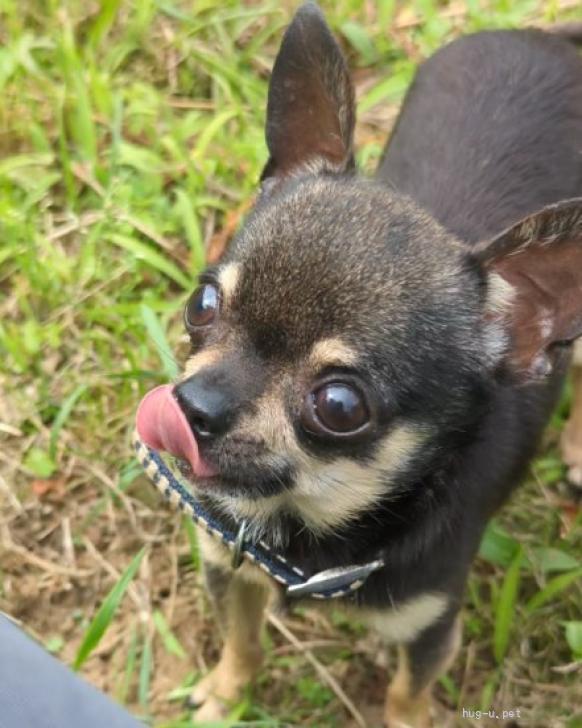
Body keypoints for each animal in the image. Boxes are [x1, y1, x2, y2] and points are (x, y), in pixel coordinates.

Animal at [136, 5, 582, 728]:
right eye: (202, 304)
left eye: (340, 406)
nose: (192, 406)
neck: (311, 537)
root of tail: (549, 41)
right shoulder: (228, 565)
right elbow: (242, 640)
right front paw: (224, 697)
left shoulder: (430, 629)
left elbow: (405, 695)